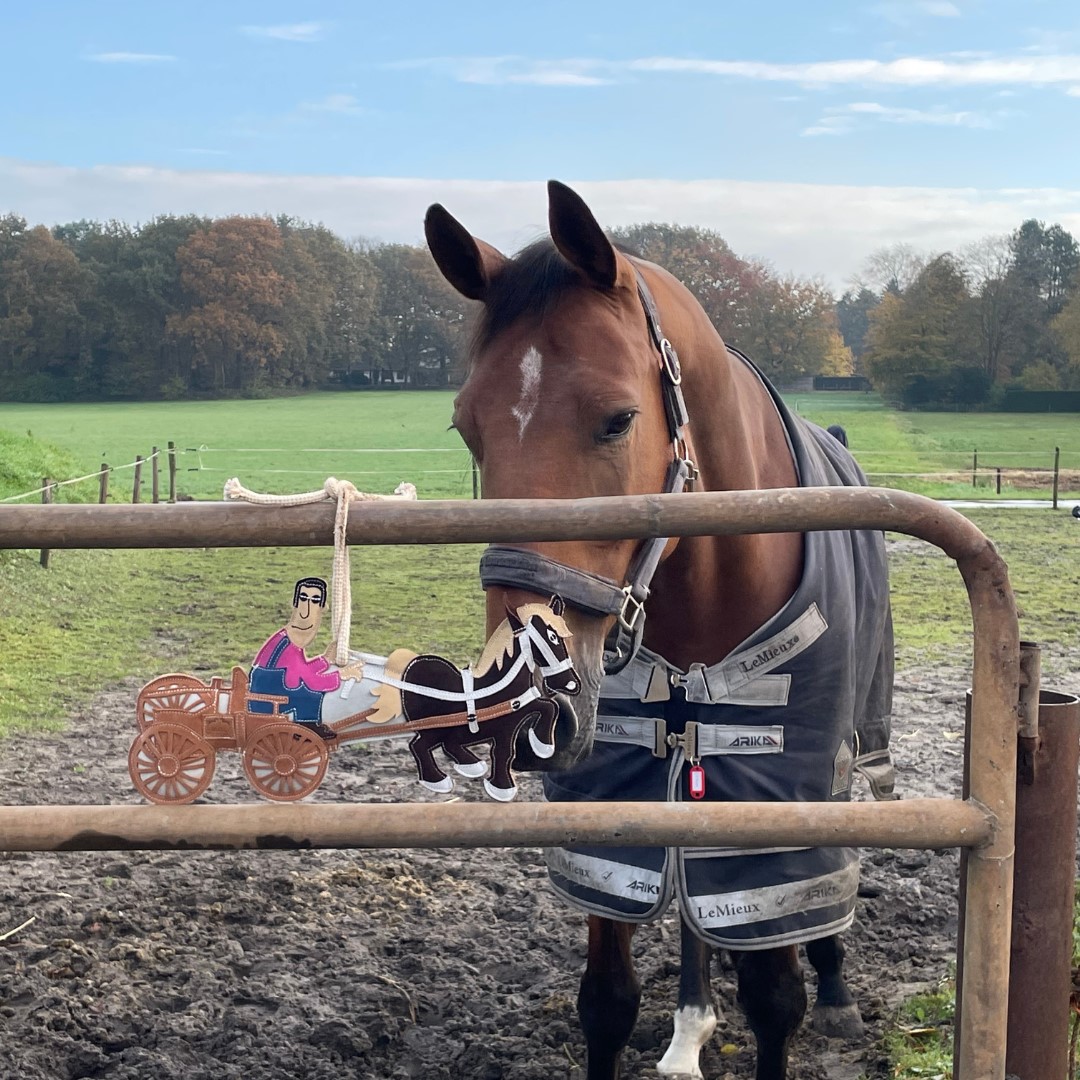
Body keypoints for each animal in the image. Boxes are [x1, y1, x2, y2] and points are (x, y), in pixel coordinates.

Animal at [424, 181, 894, 1080]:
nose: (526, 703)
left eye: (617, 420)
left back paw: (833, 990)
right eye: (466, 428)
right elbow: (606, 1002)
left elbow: (775, 1000)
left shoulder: (777, 802)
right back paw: (689, 1024)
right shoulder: (617, 808)